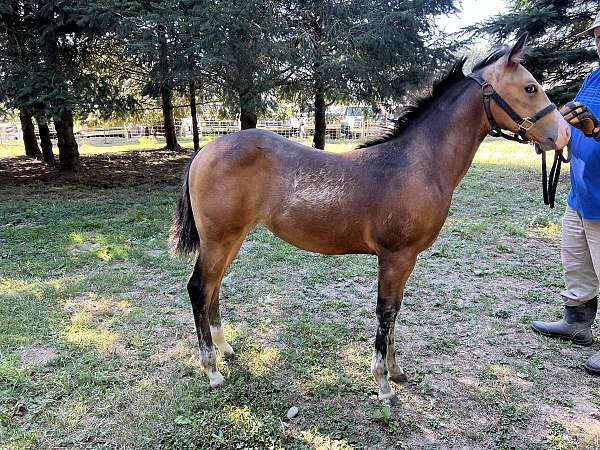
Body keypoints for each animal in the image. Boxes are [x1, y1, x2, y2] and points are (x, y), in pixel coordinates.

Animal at [170, 36, 572, 400]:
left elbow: (395, 311)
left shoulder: (407, 260)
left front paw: (396, 371)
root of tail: (204, 151)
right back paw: (212, 370)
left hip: (231, 239)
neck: (417, 164)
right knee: (199, 288)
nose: (564, 134)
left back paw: (226, 350)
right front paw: (383, 384)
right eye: (530, 87)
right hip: (220, 239)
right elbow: (386, 311)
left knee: (214, 288)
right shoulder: (395, 257)